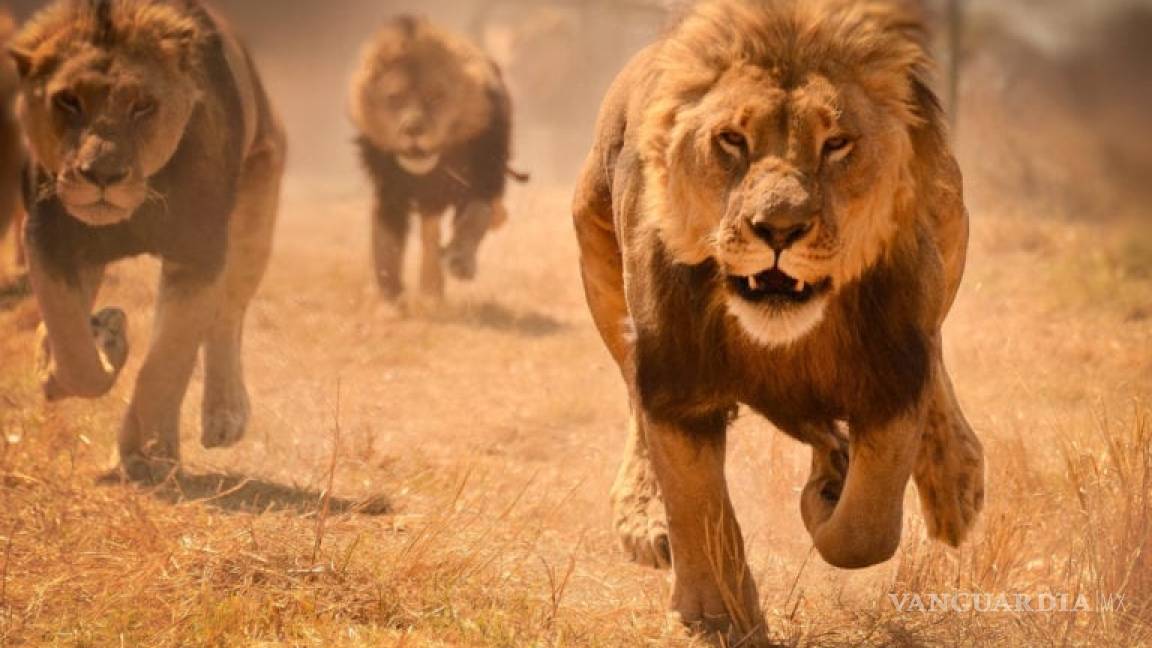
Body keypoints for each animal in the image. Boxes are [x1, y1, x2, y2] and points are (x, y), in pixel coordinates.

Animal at [10, 0, 286, 482]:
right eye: (68, 100)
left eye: (143, 106)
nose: (102, 175)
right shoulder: (47, 239)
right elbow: (73, 349)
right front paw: (103, 343)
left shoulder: (199, 255)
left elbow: (167, 362)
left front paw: (148, 455)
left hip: (256, 208)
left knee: (227, 317)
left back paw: (223, 415)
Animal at [351, 15, 525, 302]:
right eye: (394, 98)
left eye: (435, 98)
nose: (412, 129)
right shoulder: (389, 192)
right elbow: (386, 245)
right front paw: (390, 297)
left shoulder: (482, 179)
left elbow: (475, 217)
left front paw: (459, 260)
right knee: (429, 232)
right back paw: (431, 289)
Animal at [572, 0, 985, 640]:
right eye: (731, 140)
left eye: (836, 143)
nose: (779, 229)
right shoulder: (673, 380)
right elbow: (698, 506)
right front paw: (715, 615)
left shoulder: (894, 370)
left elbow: (865, 530)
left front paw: (827, 498)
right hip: (597, 261)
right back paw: (647, 522)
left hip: (949, 232)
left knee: (934, 357)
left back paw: (950, 481)